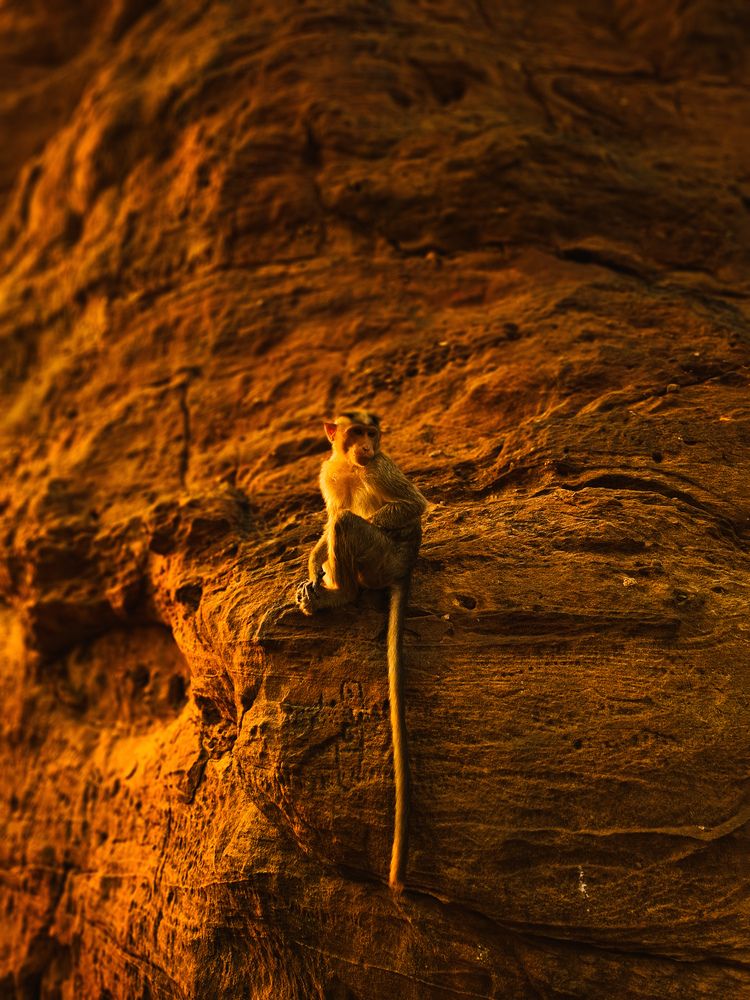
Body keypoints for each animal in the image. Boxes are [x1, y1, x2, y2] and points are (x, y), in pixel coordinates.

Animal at [296, 410, 427, 891]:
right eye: (355, 433)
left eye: (372, 434)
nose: (368, 446)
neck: (352, 465)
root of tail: (404, 568)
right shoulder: (328, 472)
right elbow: (333, 511)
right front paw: (313, 564)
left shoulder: (381, 469)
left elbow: (410, 506)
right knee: (341, 522)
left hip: (382, 559)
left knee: (350, 527)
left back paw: (341, 594)